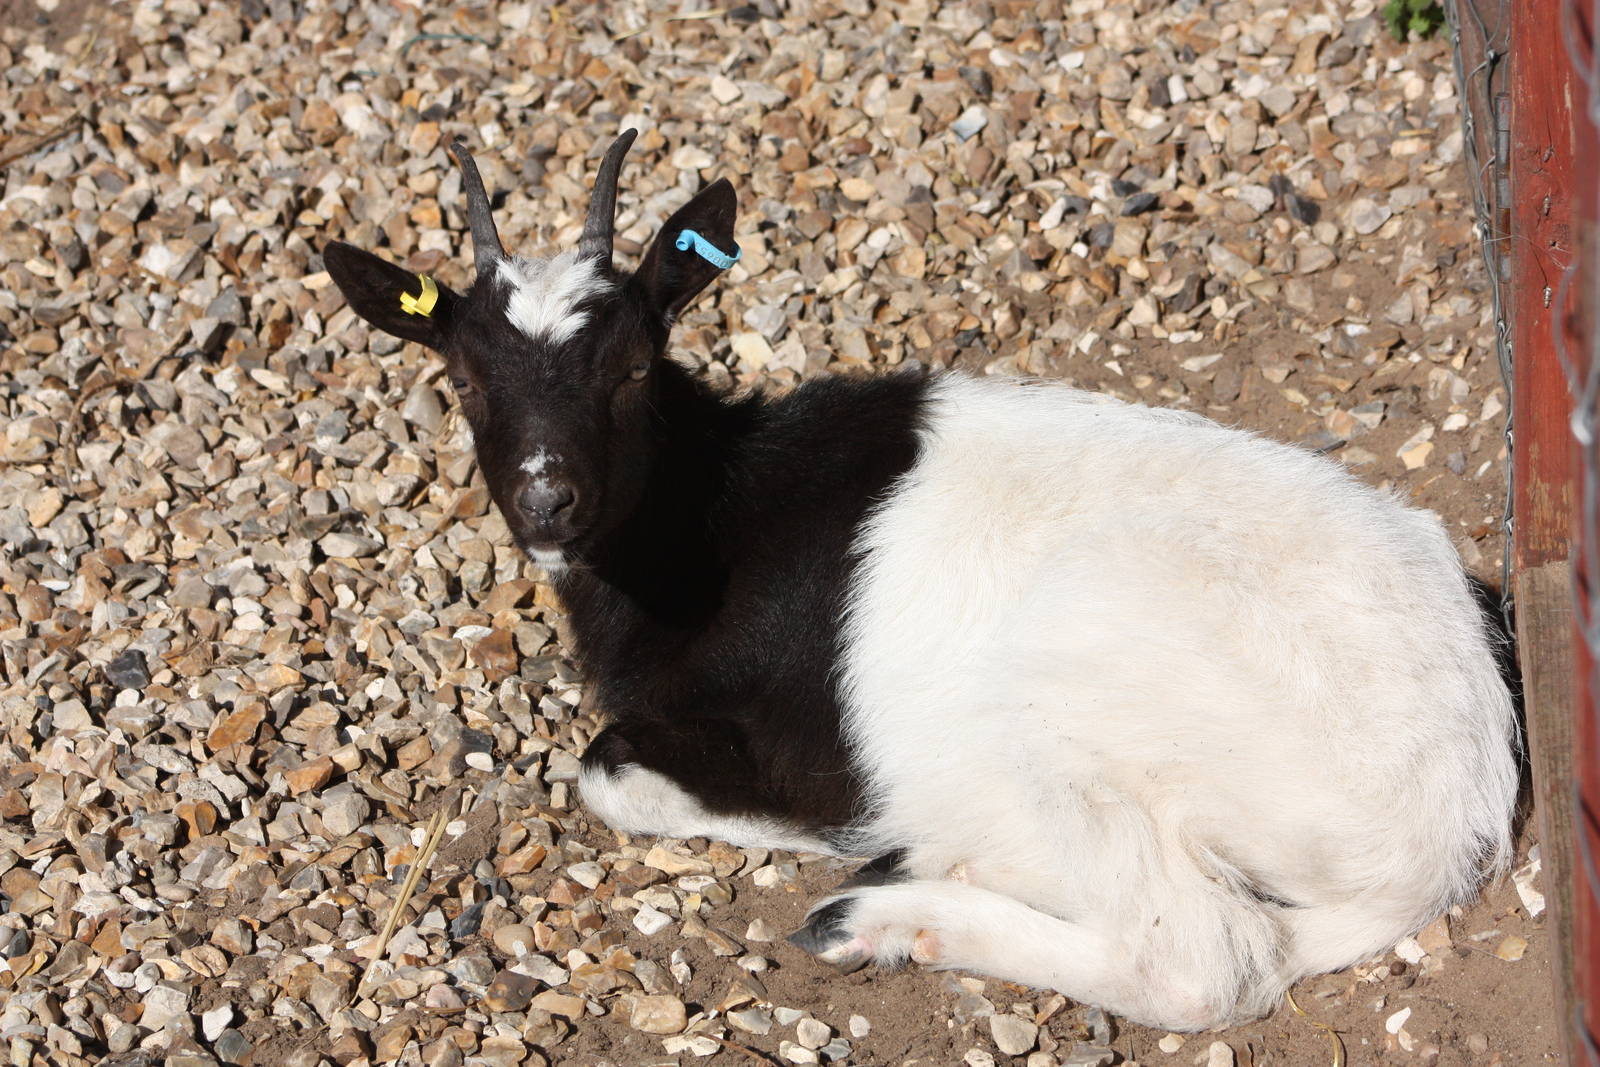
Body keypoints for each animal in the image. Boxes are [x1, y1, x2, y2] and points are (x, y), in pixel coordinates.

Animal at [324, 131, 1519, 1032]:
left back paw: (883, 913)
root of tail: (1450, 816)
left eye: (629, 366)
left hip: (1080, 676)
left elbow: (607, 769)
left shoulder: (797, 748)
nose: (548, 500)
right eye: (464, 377)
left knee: (1202, 955)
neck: (714, 522)